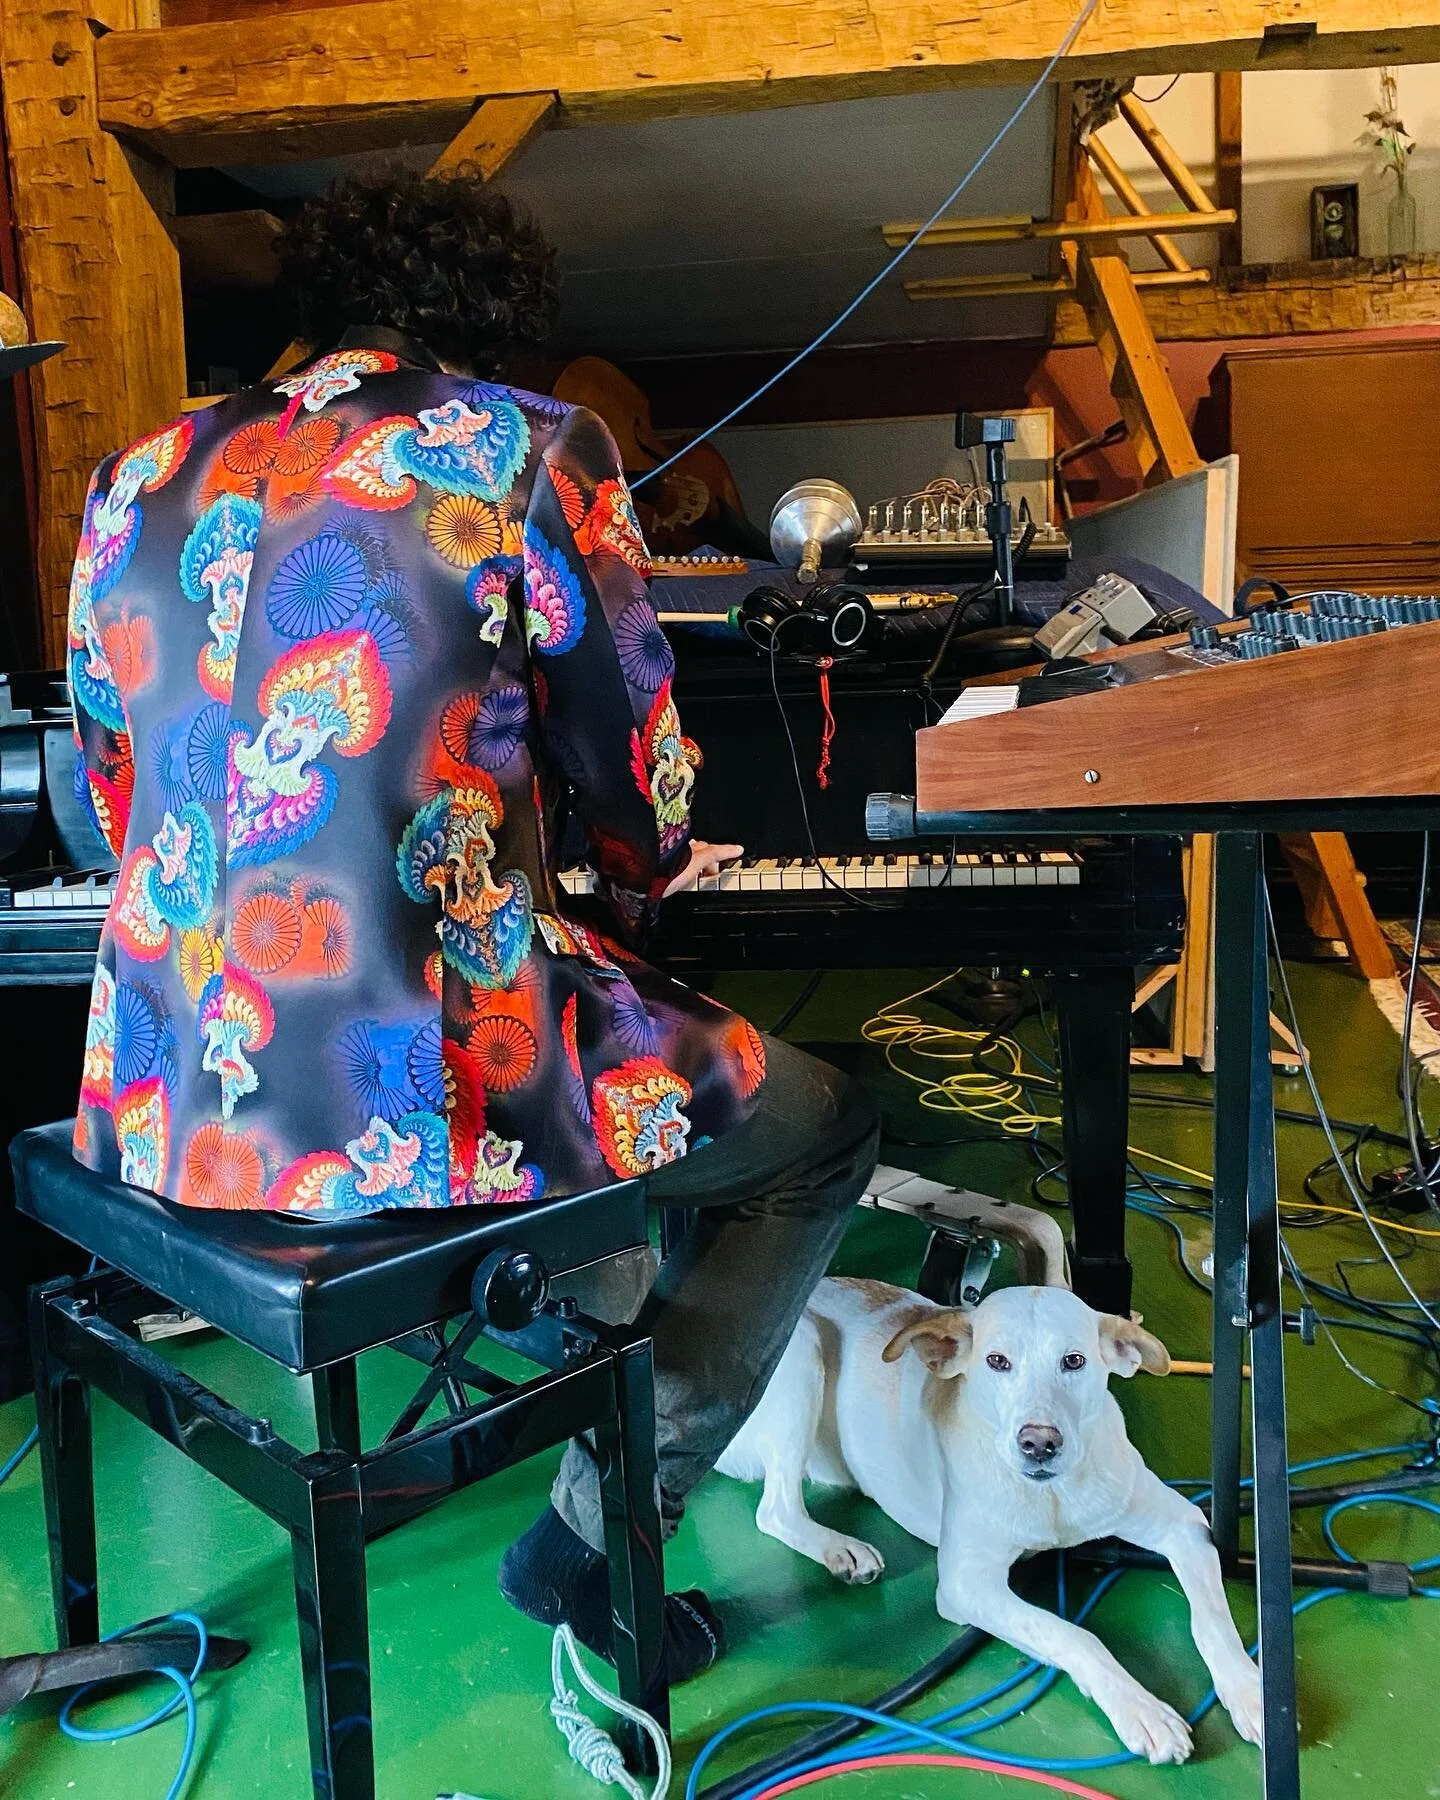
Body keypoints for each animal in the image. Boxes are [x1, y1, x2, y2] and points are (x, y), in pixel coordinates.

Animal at [717, 1278, 1263, 1764]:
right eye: (997, 1361)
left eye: (1074, 1361)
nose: (1039, 1442)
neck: (1051, 1495)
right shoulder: (965, 1585)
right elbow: (1073, 1635)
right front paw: (1140, 1708)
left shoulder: (1184, 1523)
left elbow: (1212, 1619)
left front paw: (1251, 1690)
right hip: (801, 1353)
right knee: (776, 1510)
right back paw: (839, 1548)